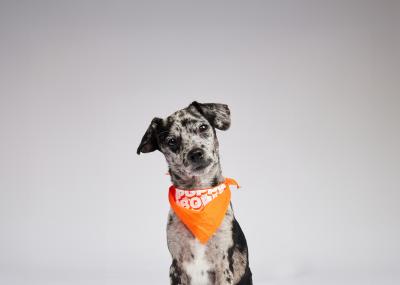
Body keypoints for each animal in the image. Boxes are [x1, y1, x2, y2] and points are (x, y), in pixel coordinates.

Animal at [136, 101, 252, 282]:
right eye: (171, 141)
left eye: (203, 127)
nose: (196, 153)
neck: (198, 198)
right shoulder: (176, 266)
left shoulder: (223, 264)